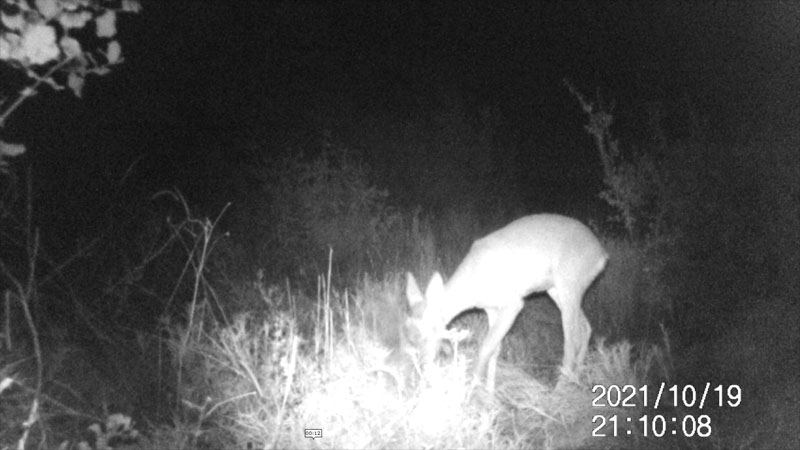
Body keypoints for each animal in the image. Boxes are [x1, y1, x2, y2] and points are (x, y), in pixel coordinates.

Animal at [406, 213, 608, 392]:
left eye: (429, 333)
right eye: (408, 335)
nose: (420, 366)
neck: (471, 284)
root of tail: (602, 254)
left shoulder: (513, 303)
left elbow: (486, 347)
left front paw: (473, 390)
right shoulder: (491, 309)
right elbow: (496, 348)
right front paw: (490, 394)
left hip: (568, 285)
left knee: (571, 340)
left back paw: (559, 391)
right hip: (557, 290)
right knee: (585, 328)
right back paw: (577, 380)